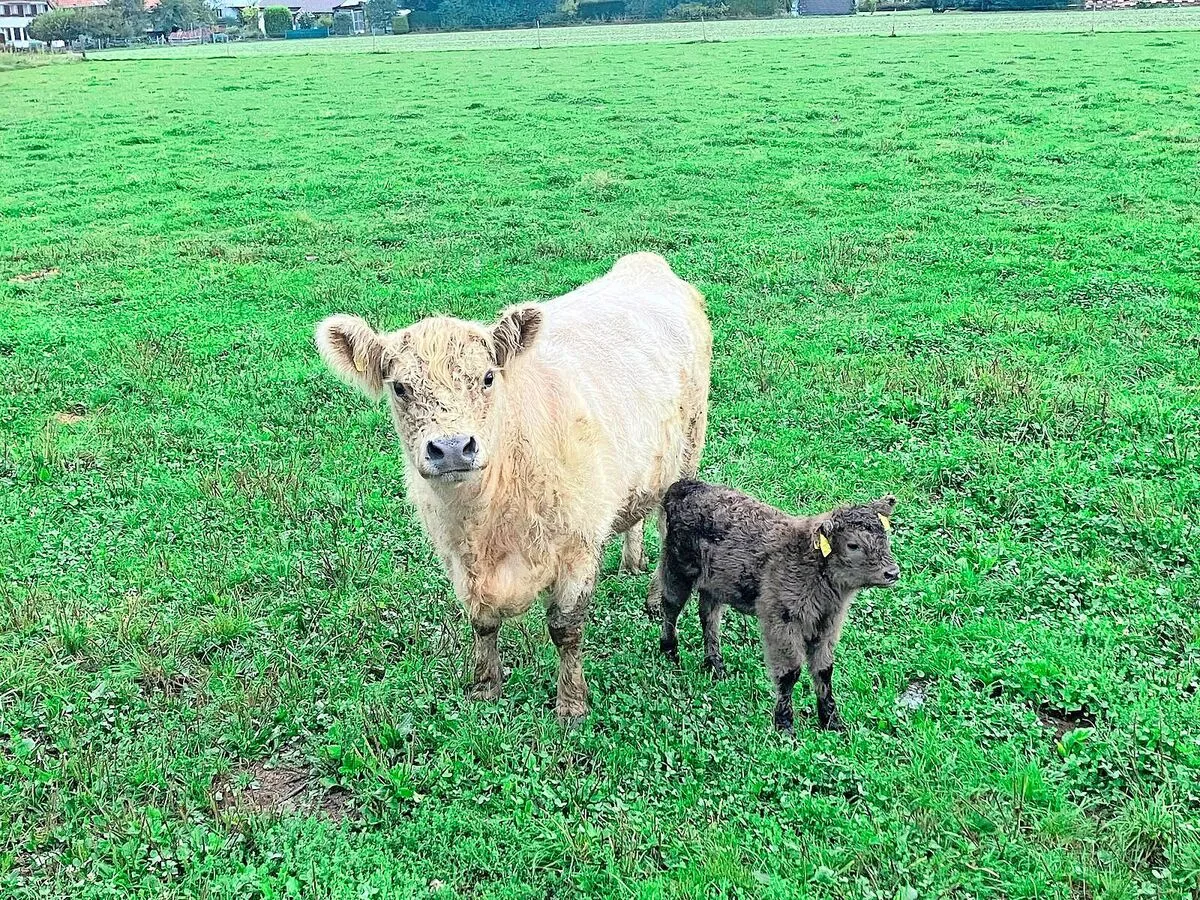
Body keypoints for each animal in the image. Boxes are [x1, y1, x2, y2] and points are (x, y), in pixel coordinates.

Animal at [315, 253, 712, 721]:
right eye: (400, 387)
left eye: (488, 377)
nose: (453, 447)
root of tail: (646, 263)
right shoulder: (458, 558)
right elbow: (482, 622)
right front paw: (486, 688)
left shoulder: (576, 547)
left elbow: (565, 630)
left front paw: (571, 704)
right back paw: (631, 561)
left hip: (686, 455)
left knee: (668, 528)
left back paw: (654, 597)